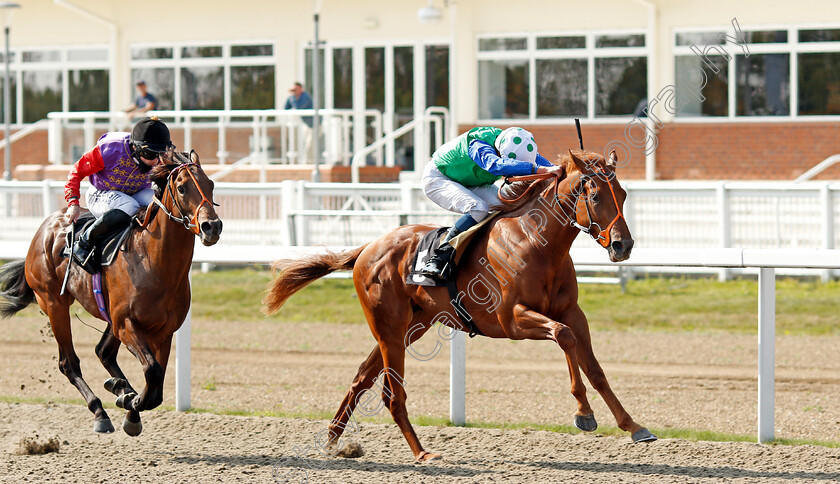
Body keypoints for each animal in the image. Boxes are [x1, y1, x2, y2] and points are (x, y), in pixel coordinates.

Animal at [0, 151, 221, 434]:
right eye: (182, 188)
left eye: (210, 184)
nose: (211, 226)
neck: (153, 262)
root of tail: (46, 226)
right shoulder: (127, 323)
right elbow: (152, 371)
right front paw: (130, 402)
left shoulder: (163, 330)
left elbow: (156, 387)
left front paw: (130, 404)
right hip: (54, 303)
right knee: (68, 363)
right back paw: (100, 411)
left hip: (107, 316)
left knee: (103, 351)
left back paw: (119, 386)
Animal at [266, 150, 660, 462]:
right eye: (593, 194)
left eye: (622, 193)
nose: (623, 245)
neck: (538, 244)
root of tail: (368, 247)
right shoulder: (512, 320)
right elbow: (563, 338)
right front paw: (583, 413)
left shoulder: (572, 313)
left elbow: (593, 366)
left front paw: (633, 426)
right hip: (389, 327)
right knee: (392, 393)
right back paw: (421, 452)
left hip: (411, 327)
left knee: (362, 377)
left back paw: (333, 443)